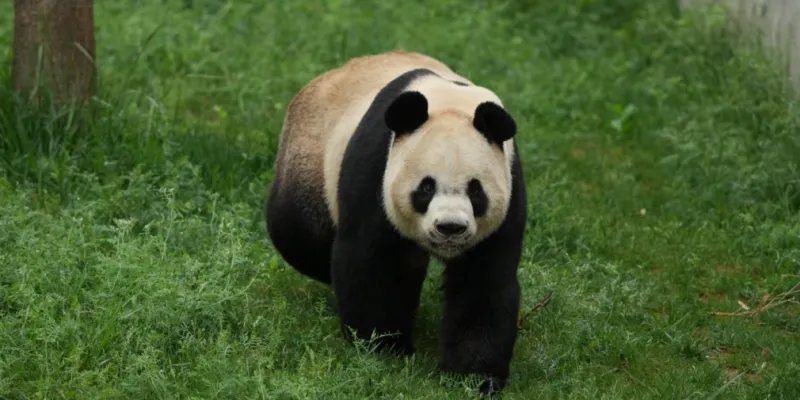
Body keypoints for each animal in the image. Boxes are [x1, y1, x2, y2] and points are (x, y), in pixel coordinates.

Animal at [265, 50, 527, 395]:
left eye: (476, 190)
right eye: (426, 188)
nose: (450, 228)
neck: (451, 101)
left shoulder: (508, 190)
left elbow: (483, 283)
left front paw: (472, 377)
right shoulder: (377, 171)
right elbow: (374, 264)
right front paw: (383, 347)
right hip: (311, 158)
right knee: (300, 233)